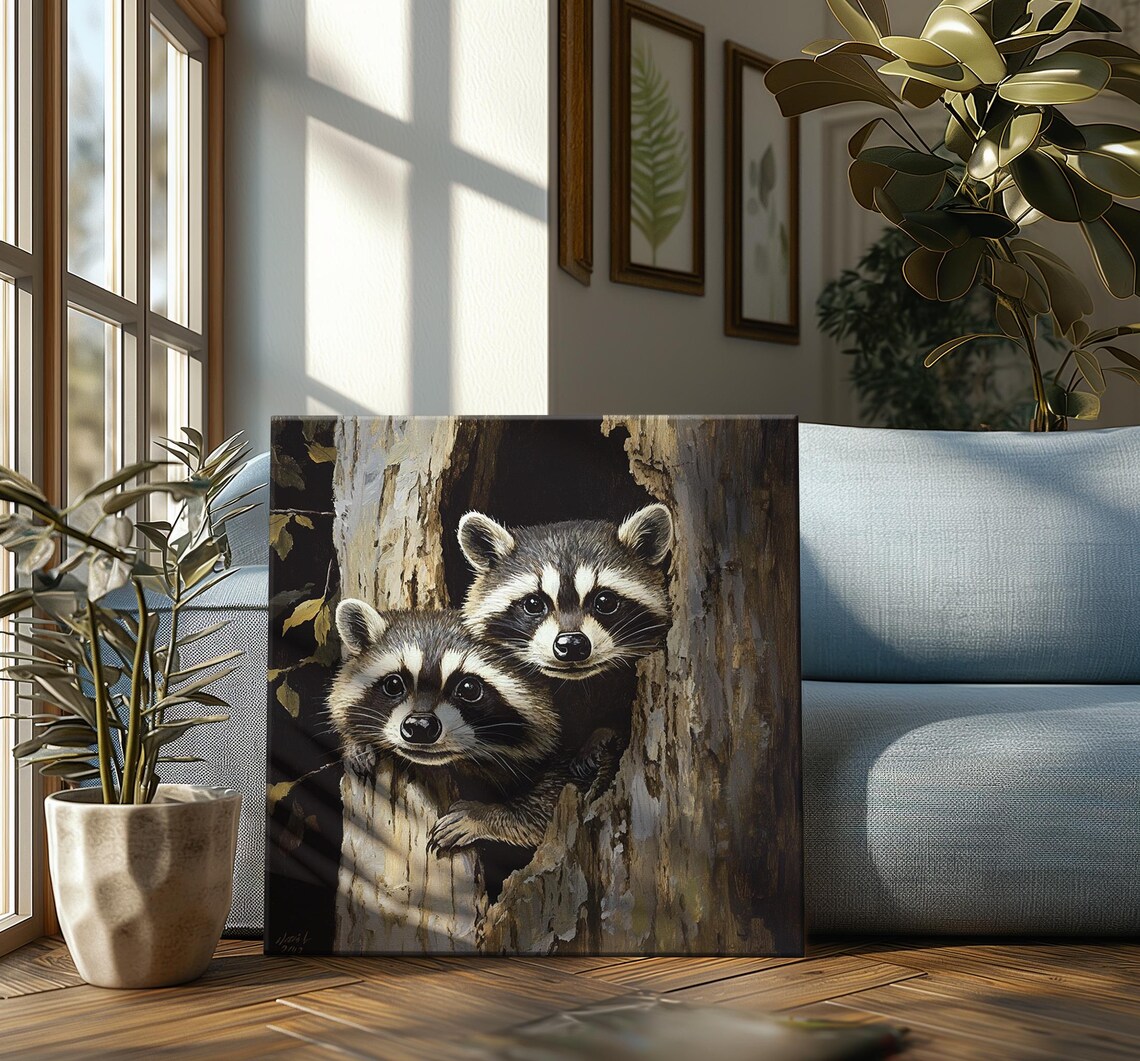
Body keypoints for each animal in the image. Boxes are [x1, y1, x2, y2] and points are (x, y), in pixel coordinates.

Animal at [328, 600, 572, 852]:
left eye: (469, 688)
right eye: (394, 684)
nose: (420, 726)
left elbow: (546, 805)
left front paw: (484, 815)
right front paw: (356, 742)